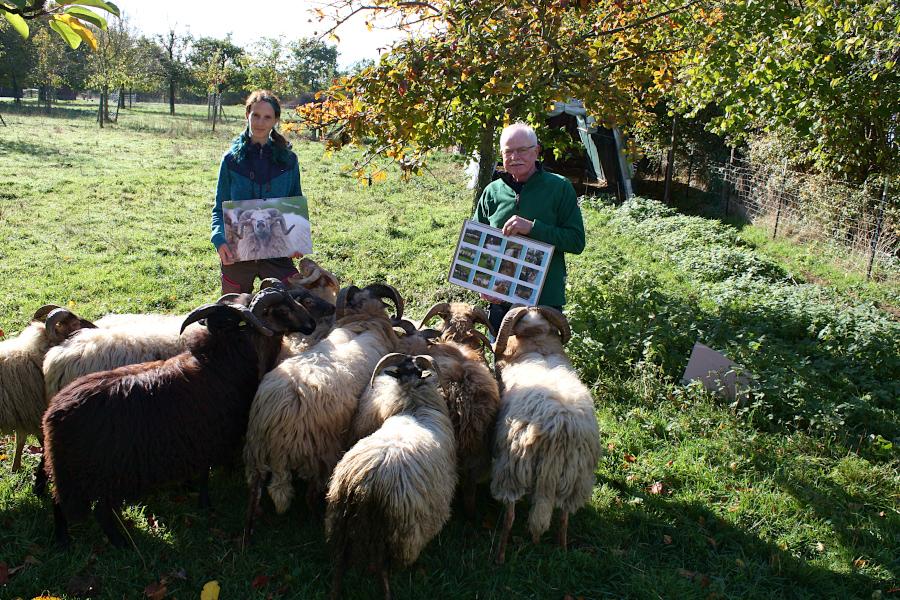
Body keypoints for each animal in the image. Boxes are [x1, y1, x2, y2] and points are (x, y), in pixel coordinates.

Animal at [0, 304, 95, 474]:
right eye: (75, 324)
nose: (96, 328)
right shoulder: (31, 411)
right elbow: (31, 439)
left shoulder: (24, 413)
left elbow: (21, 439)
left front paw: (15, 467)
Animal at [243, 284, 404, 532]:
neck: (365, 321)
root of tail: (280, 413)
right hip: (319, 453)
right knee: (310, 496)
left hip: (255, 453)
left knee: (254, 497)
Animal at [326, 352, 458, 600]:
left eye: (415, 367)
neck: (412, 405)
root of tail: (361, 485)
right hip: (395, 530)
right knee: (382, 567)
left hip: (339, 520)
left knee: (339, 564)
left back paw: (335, 593)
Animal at [488, 308, 600, 564]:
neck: (538, 345)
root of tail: (560, 428)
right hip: (576, 477)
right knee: (564, 516)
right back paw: (562, 549)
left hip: (513, 468)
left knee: (510, 516)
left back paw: (500, 557)